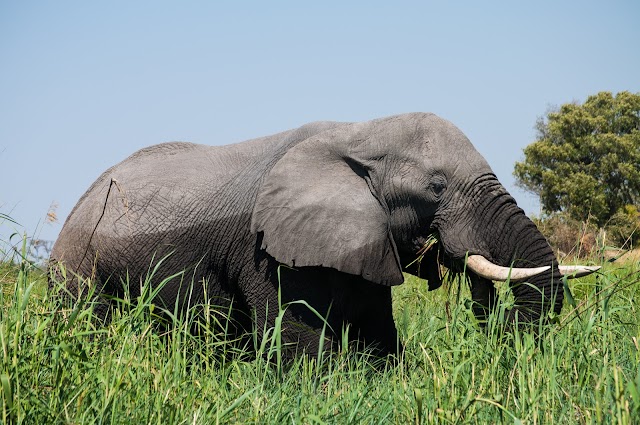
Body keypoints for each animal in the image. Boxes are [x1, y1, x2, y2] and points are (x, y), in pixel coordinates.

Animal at [48, 112, 596, 354]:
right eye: (436, 188)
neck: (360, 133)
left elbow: (378, 335)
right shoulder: (268, 251)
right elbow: (302, 342)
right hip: (78, 272)